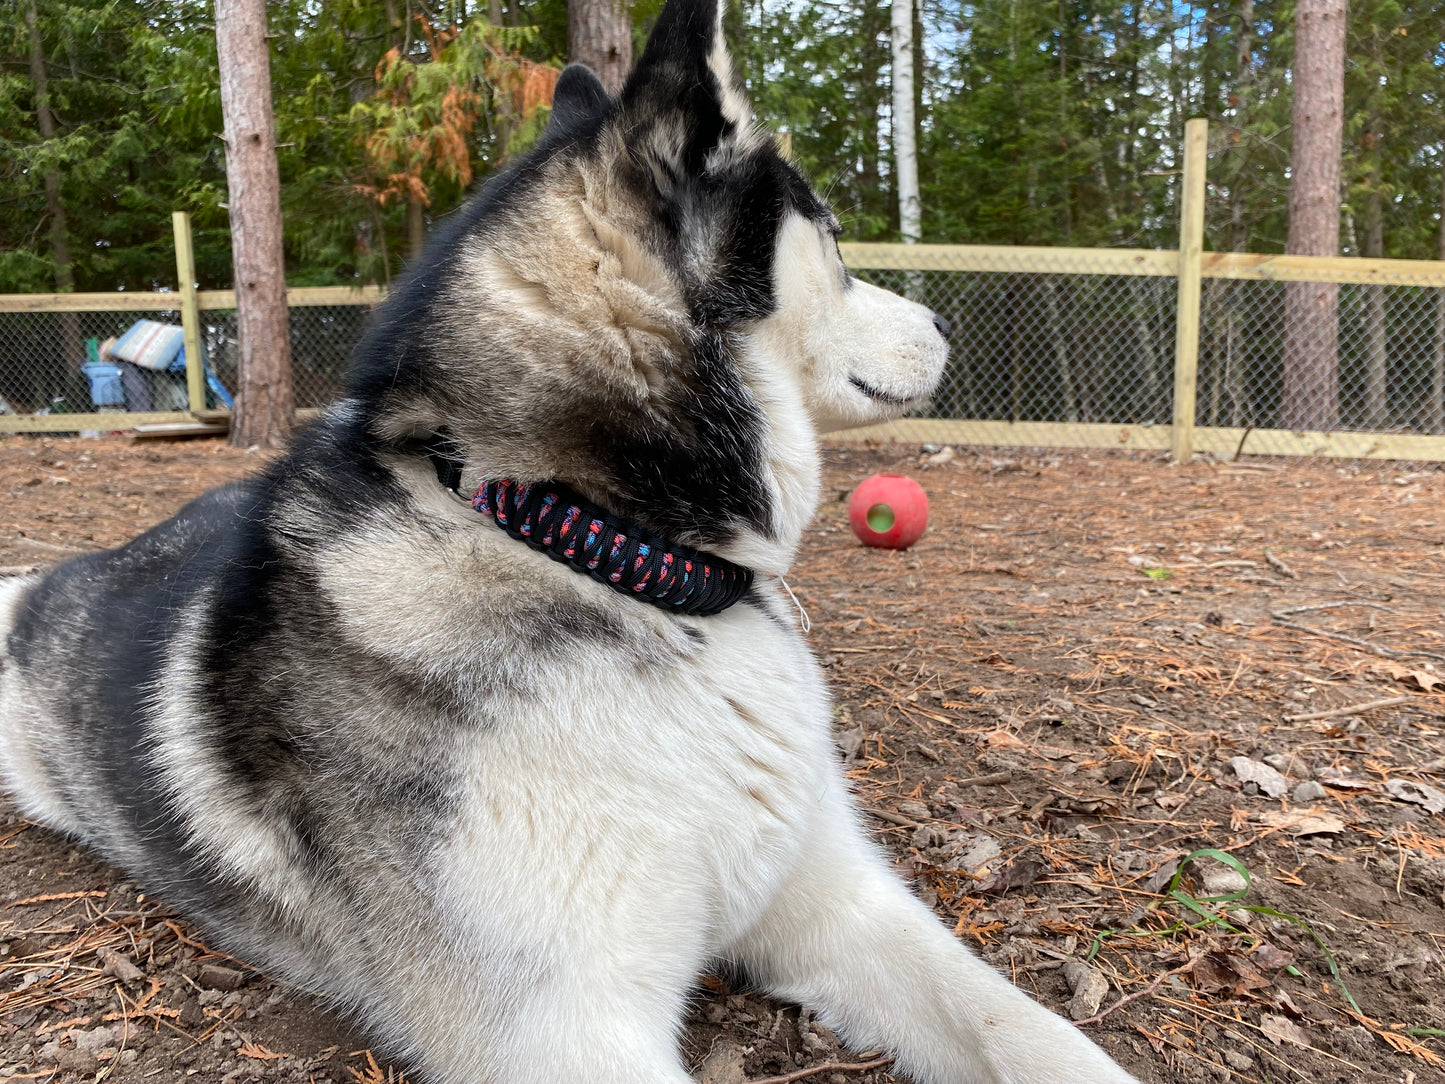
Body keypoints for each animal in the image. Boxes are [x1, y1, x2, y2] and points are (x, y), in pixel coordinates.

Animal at [2, 2, 1138, 1084]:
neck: (601, 549)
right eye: (836, 246)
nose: (947, 325)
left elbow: (1025, 1028)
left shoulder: (835, 898)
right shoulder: (562, 1032)